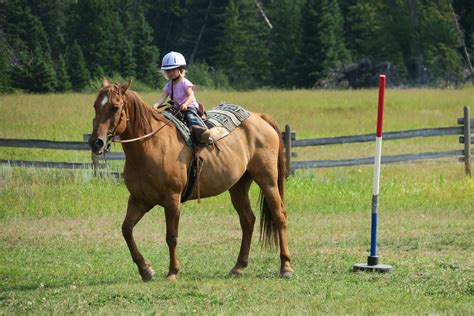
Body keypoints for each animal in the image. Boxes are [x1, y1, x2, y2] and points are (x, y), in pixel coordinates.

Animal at [88, 79, 292, 282]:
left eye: (115, 107)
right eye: (95, 106)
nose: (96, 142)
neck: (150, 145)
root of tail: (259, 117)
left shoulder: (172, 200)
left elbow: (171, 236)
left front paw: (172, 271)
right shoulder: (140, 200)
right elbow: (126, 230)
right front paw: (145, 270)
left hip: (267, 180)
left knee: (279, 216)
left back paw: (286, 266)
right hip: (238, 186)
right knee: (248, 220)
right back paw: (238, 267)